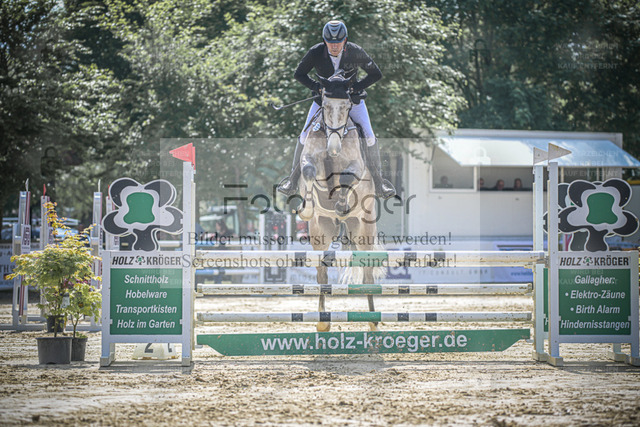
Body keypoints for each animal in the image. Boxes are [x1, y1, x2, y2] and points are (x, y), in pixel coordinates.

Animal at [297, 71, 385, 332]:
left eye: (347, 107)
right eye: (325, 106)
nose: (333, 148)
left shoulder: (355, 165)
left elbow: (346, 177)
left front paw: (341, 204)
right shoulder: (310, 158)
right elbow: (308, 171)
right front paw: (307, 208)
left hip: (364, 232)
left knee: (368, 275)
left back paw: (373, 321)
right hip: (320, 233)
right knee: (322, 274)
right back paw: (322, 322)